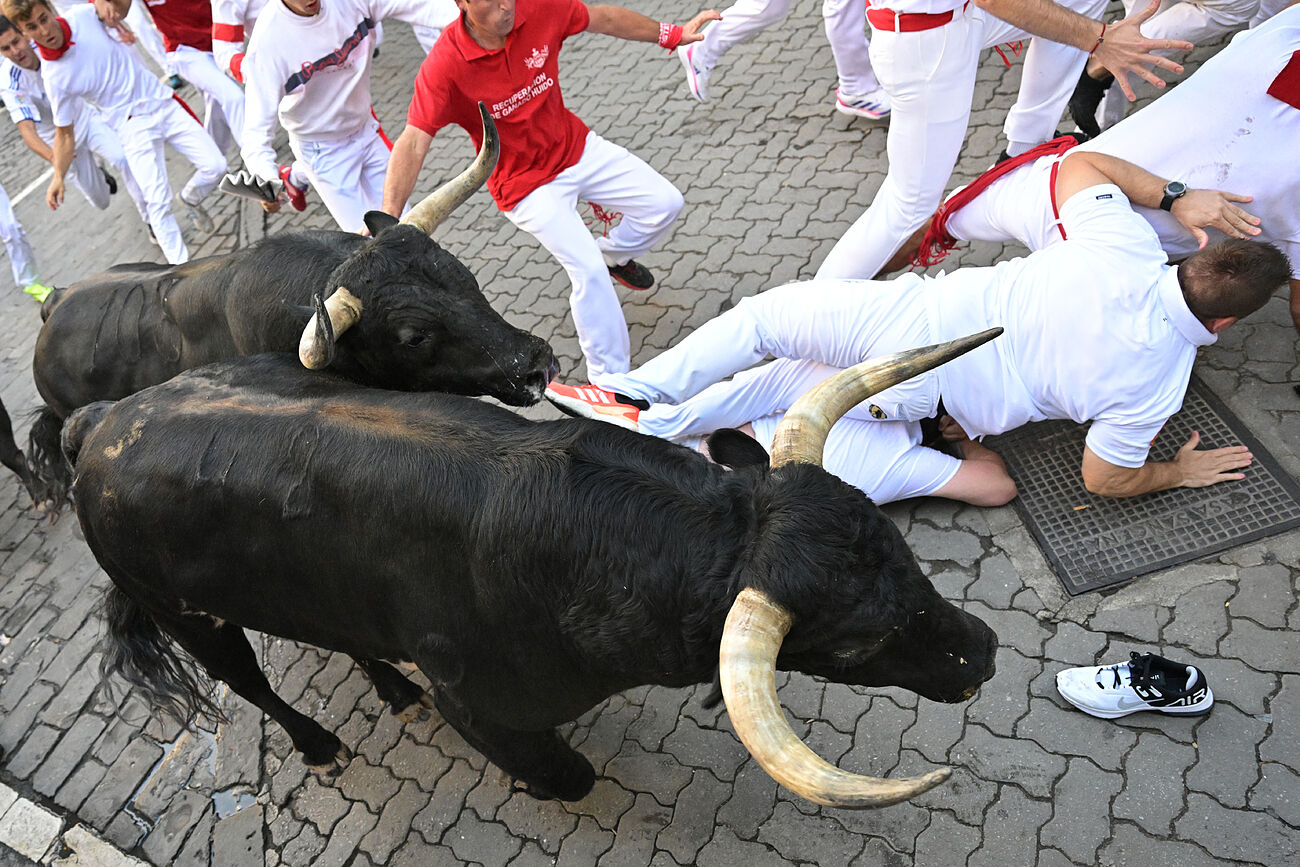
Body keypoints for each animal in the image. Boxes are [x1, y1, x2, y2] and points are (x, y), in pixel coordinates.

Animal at [71, 343, 998, 805]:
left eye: (900, 548)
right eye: (852, 646)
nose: (984, 653)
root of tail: (102, 422)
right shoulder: (480, 704)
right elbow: (569, 774)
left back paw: (392, 689)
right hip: (190, 617)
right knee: (253, 685)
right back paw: (319, 744)